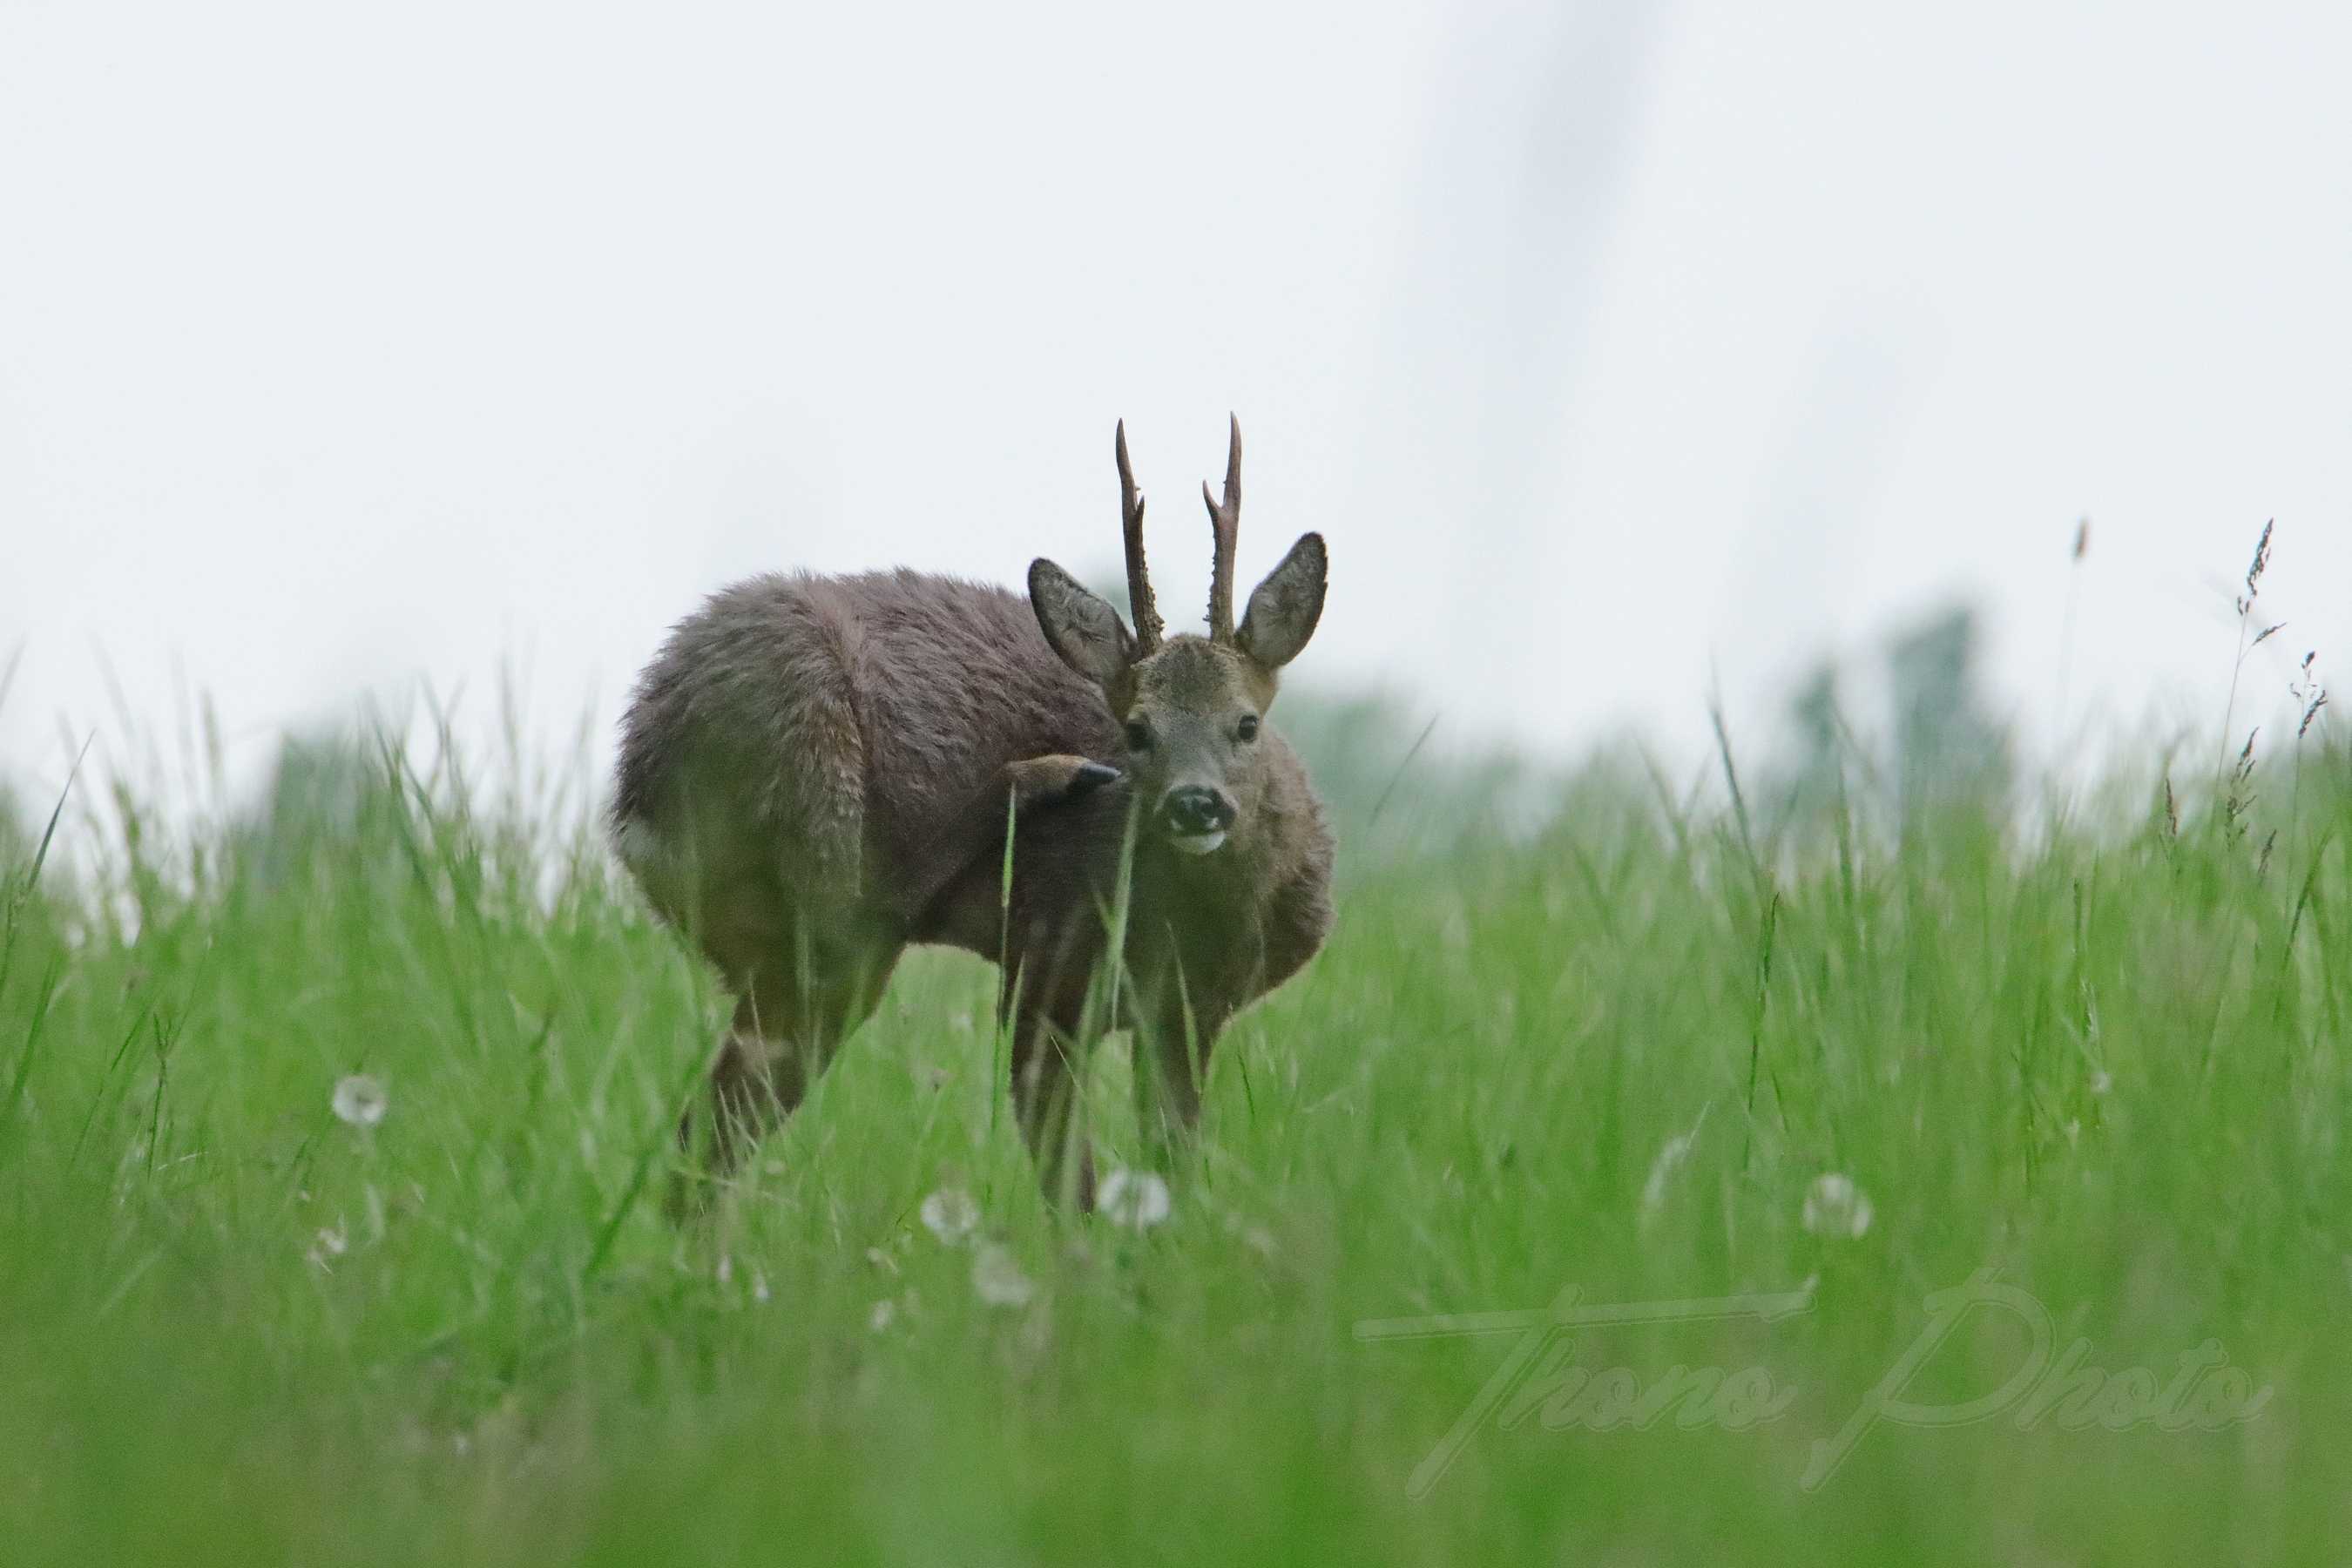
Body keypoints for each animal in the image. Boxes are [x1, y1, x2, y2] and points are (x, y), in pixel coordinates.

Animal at [616, 421, 1335, 1213]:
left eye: (1246, 723)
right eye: (1137, 730)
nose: (1195, 801)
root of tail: (637, 770)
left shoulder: (1188, 1012)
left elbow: (1168, 1169)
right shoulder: (1045, 975)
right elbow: (1073, 1191)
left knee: (712, 1133)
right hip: (815, 851)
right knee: (721, 1120)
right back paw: (1040, 779)